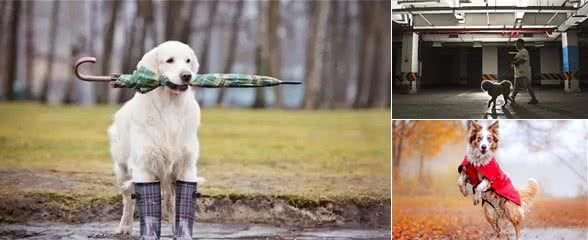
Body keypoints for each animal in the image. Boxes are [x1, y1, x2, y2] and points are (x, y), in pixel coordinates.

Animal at [109, 41, 203, 240]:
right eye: (170, 60)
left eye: (188, 60)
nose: (187, 75)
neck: (170, 106)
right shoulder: (144, 165)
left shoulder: (187, 165)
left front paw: (182, 233)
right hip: (122, 169)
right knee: (128, 200)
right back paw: (124, 227)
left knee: (170, 201)